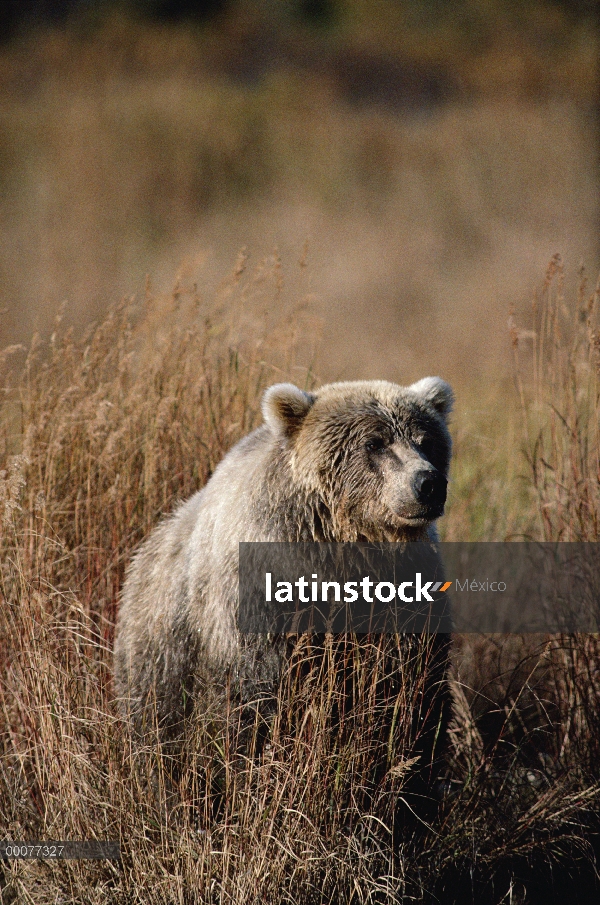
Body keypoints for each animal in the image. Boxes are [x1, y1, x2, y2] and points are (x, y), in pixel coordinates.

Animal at [112, 374, 452, 748]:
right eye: (375, 443)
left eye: (426, 441)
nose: (428, 483)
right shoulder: (261, 604)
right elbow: (254, 691)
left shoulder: (403, 599)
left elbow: (412, 686)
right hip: (161, 649)